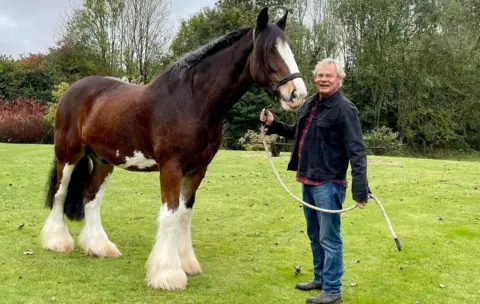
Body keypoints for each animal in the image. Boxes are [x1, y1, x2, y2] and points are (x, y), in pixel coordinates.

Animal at [43, 7, 308, 290]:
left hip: (104, 161)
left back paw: (99, 247)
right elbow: (170, 214)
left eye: (289, 48)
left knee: (91, 197)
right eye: (270, 50)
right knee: (60, 193)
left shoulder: (197, 170)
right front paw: (168, 274)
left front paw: (187, 263)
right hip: (68, 155)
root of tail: (73, 90)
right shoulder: (171, 167)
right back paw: (57, 242)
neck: (191, 101)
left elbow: (184, 214)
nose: (297, 94)